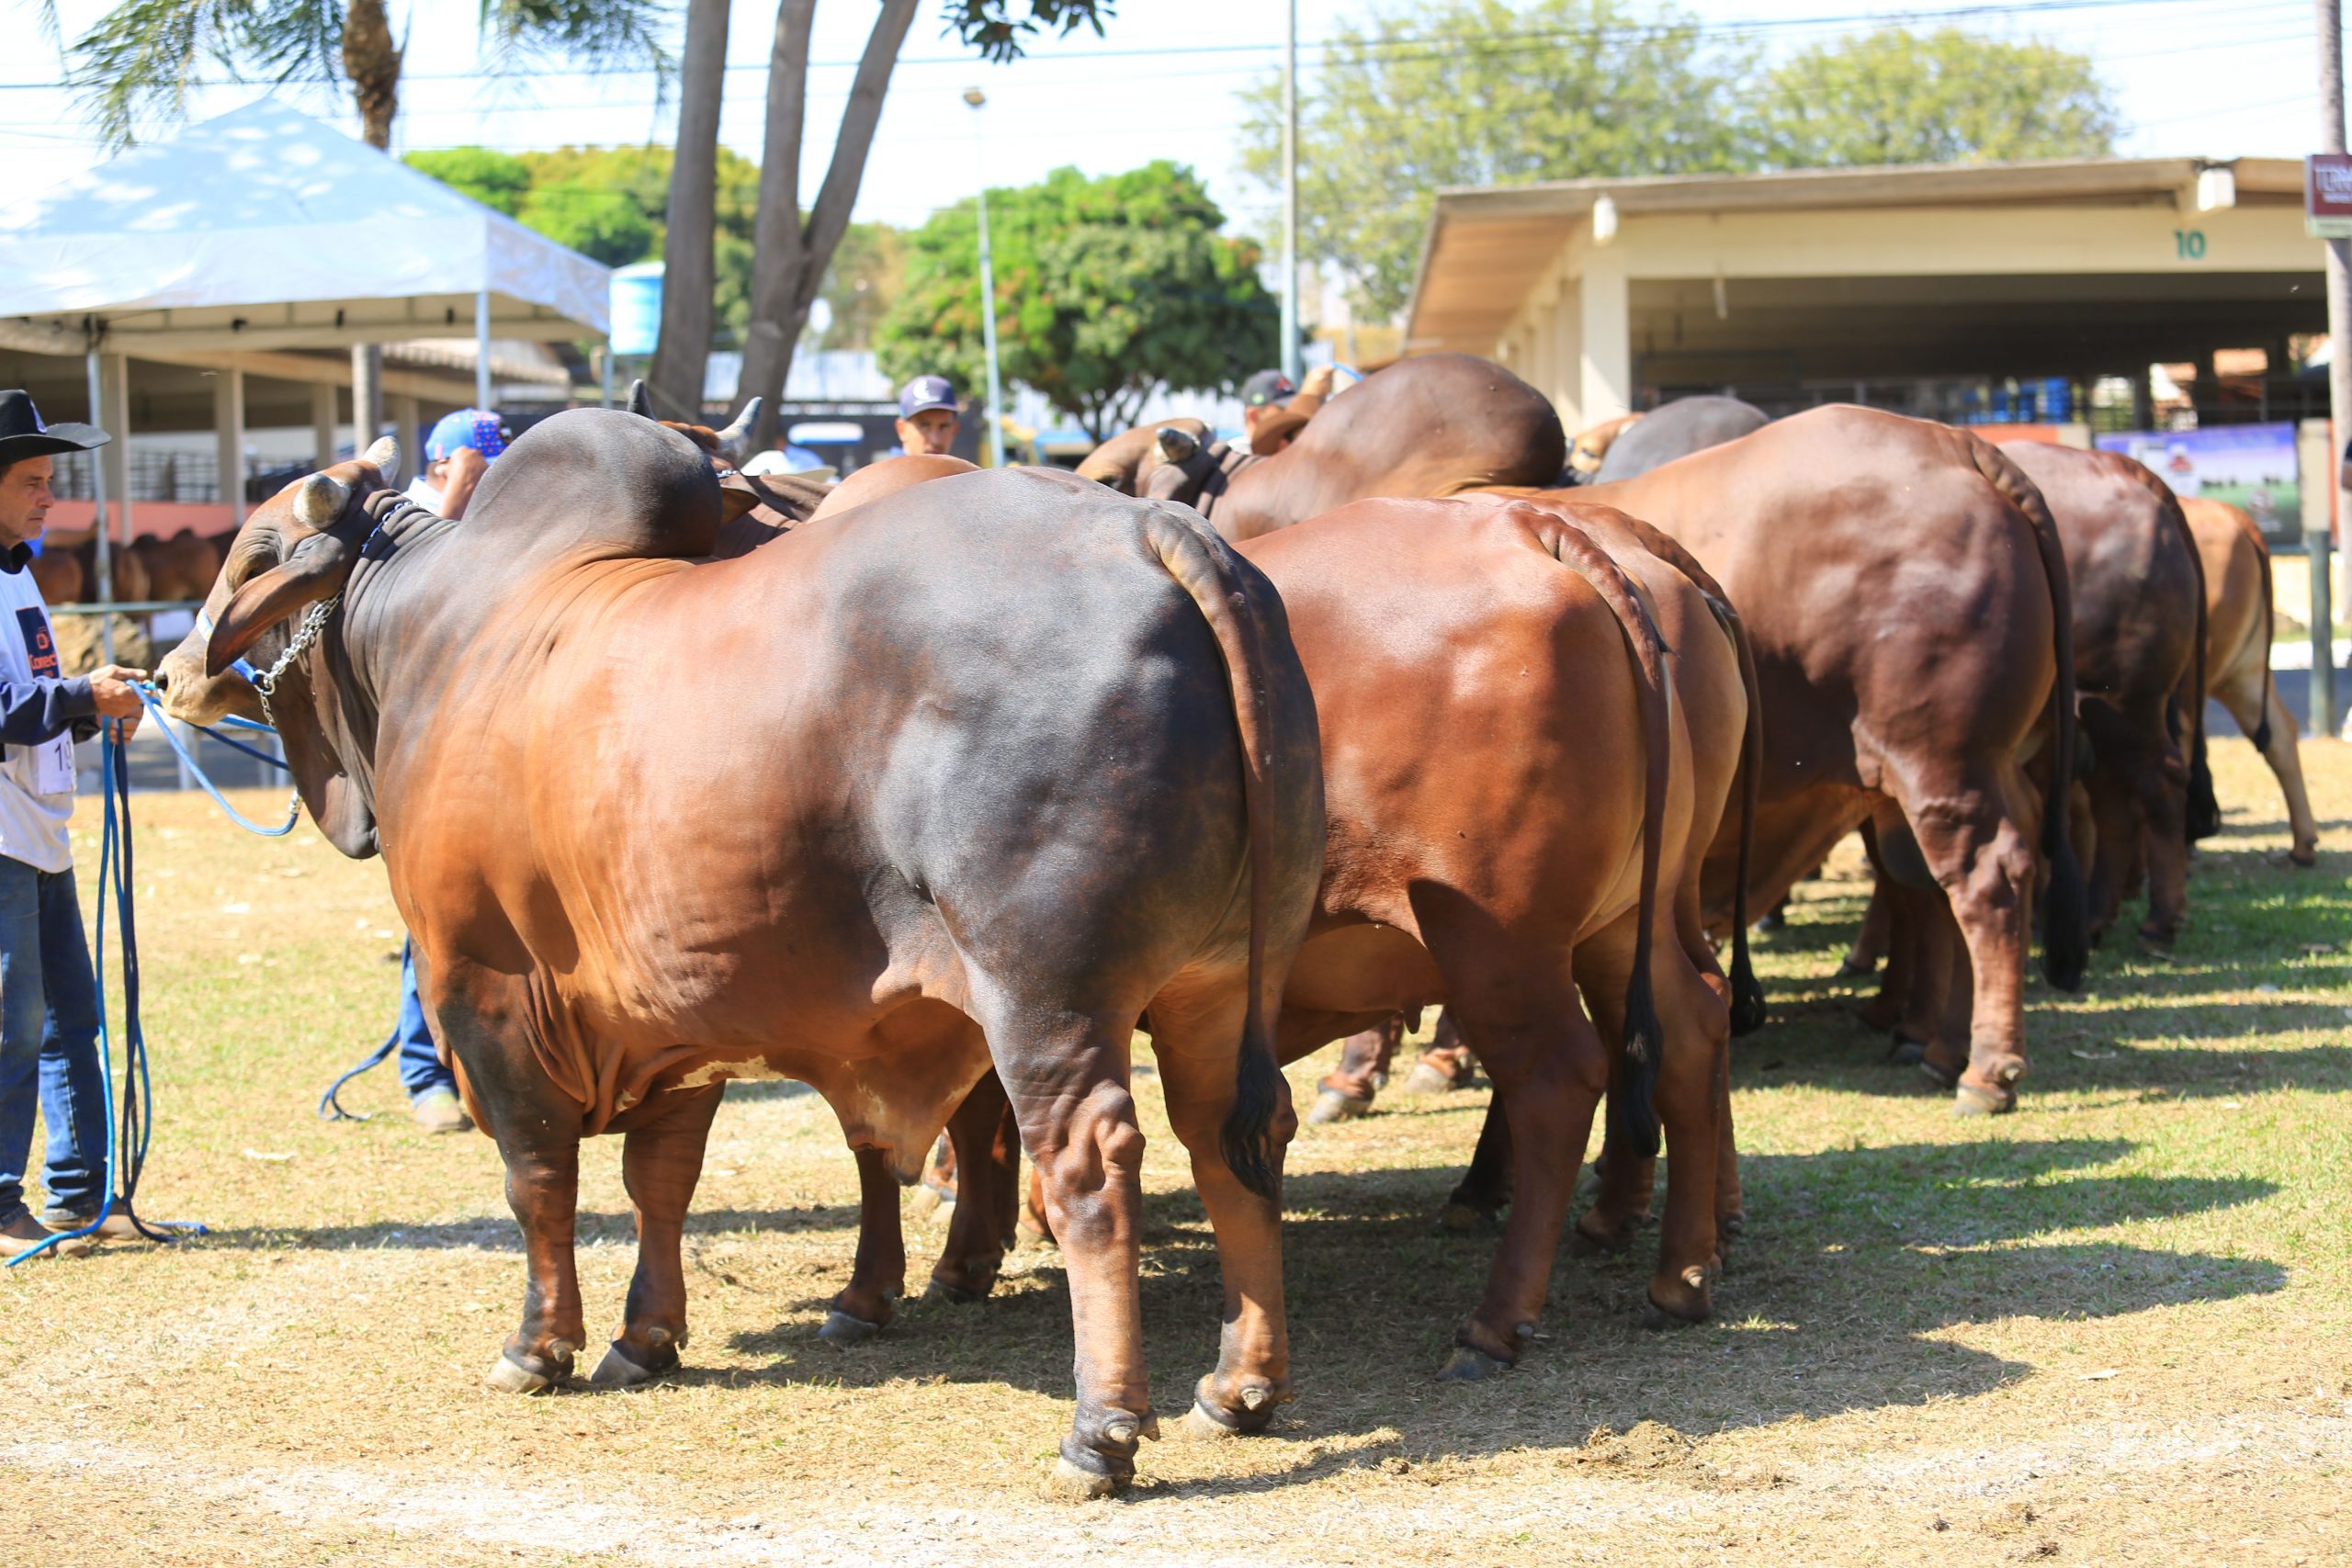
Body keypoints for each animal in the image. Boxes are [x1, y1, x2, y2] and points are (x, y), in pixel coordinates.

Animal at [152, 411, 1326, 1504]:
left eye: (253, 551)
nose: (166, 672)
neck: (434, 638)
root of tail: (1148, 529)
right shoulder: (670, 1012)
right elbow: (660, 1181)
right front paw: (644, 1337)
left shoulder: (481, 990)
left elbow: (538, 1178)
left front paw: (539, 1346)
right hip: (1218, 983)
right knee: (1232, 1139)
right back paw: (1240, 1387)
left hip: (1044, 994)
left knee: (1090, 1164)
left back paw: (1100, 1434)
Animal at [1561, 404, 2098, 1114]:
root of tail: (1954, 444)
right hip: (1972, 769)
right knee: (1950, 880)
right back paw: (1942, 1045)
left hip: (1943, 766)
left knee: (1986, 881)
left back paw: (1988, 1068)